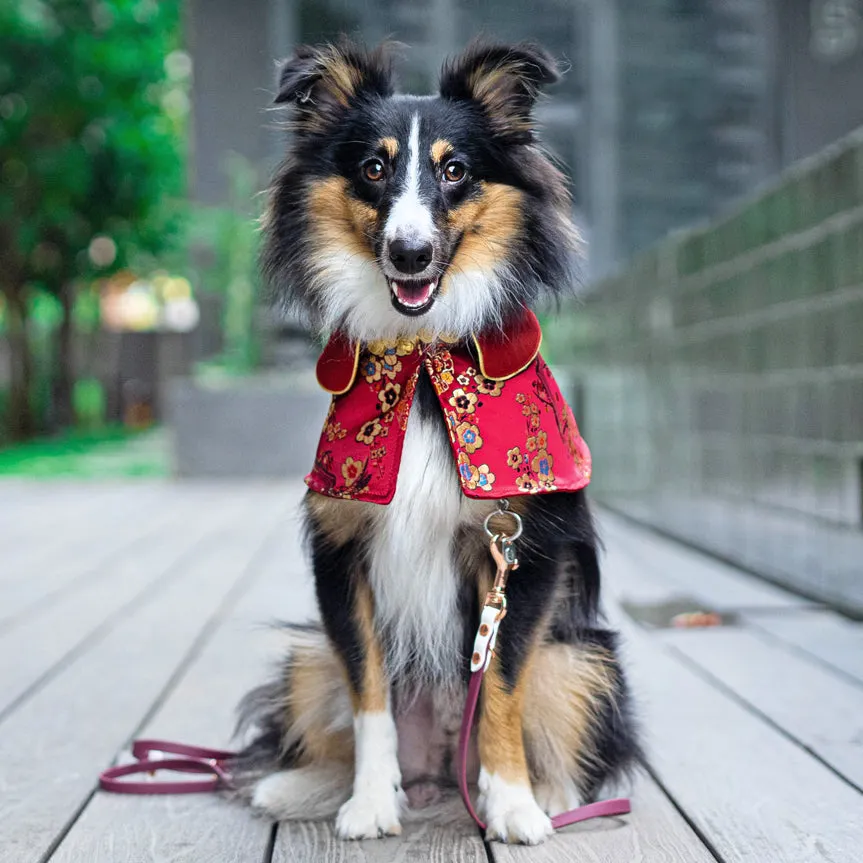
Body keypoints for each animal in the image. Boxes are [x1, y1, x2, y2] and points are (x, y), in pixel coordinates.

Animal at [236, 40, 640, 844]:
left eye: (455, 170)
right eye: (373, 167)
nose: (410, 253)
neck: (421, 352)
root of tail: (436, 772)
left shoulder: (521, 554)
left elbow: (503, 688)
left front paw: (512, 803)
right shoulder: (342, 555)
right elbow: (368, 693)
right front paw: (367, 802)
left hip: (585, 658)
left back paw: (546, 796)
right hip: (304, 653)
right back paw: (301, 787)